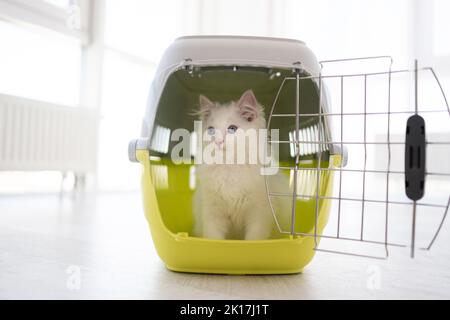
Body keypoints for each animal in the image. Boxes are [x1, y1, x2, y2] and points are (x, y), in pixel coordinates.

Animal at [192, 89, 290, 239]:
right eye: (211, 130)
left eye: (232, 129)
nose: (218, 142)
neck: (229, 166)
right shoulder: (212, 212)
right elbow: (214, 237)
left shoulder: (259, 213)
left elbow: (253, 238)